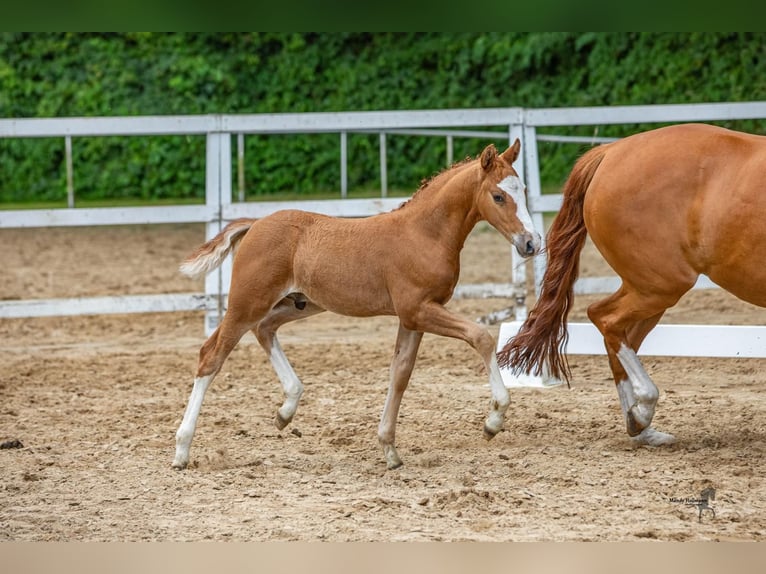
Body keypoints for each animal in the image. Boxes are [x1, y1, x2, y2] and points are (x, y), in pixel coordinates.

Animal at [174, 141, 544, 472]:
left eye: (523, 190)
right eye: (498, 196)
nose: (531, 243)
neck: (424, 233)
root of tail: (255, 224)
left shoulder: (413, 318)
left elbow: (400, 374)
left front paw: (389, 450)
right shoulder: (418, 310)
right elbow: (481, 336)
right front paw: (494, 420)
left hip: (299, 304)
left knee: (264, 329)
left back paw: (286, 410)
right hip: (246, 302)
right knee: (211, 355)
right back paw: (182, 449)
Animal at [500, 121, 764, 446]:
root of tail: (611, 152)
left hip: (648, 288)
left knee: (618, 336)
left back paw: (641, 426)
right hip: (660, 285)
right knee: (605, 318)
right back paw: (642, 410)